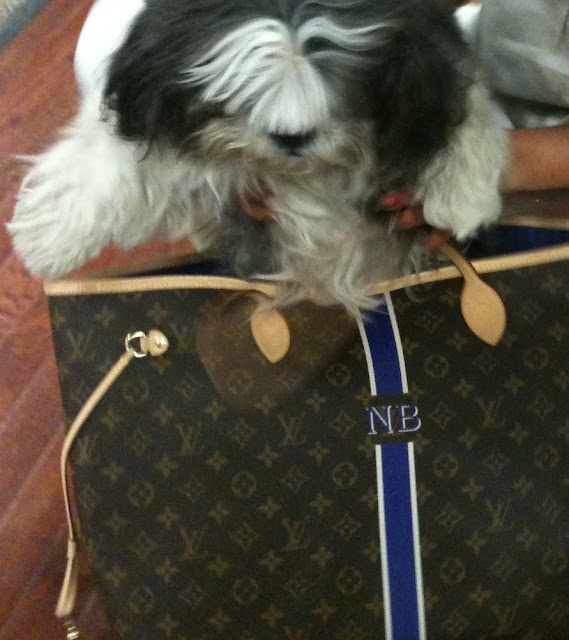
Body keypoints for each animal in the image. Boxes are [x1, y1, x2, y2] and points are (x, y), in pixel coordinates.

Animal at [8, 0, 508, 312]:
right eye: (239, 97)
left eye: (345, 94)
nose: (291, 137)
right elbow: (107, 161)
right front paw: (51, 242)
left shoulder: (429, 64)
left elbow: (467, 107)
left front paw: (463, 197)